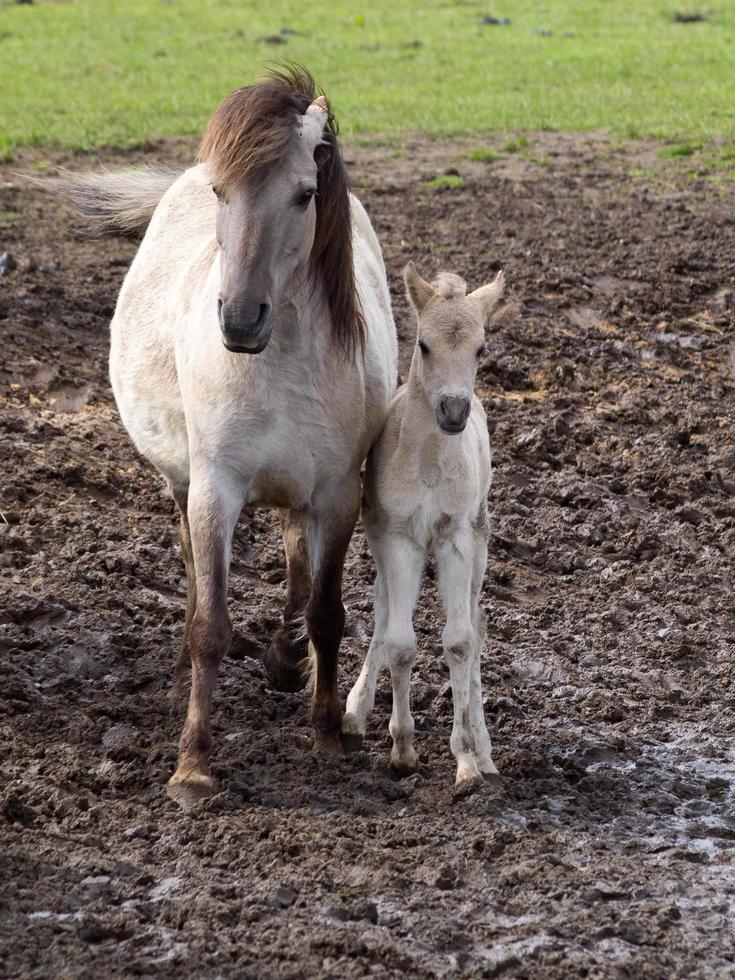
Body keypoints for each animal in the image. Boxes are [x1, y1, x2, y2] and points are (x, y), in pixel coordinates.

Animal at [56, 65, 396, 808]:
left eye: (304, 193)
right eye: (221, 192)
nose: (240, 320)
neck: (282, 361)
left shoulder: (337, 492)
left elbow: (326, 611)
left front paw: (325, 734)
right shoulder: (216, 487)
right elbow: (210, 625)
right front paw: (193, 767)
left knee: (297, 561)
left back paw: (287, 661)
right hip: (182, 483)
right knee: (193, 565)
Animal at [340, 264, 504, 792]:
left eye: (481, 349)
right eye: (424, 345)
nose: (454, 412)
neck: (430, 464)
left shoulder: (457, 540)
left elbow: (459, 640)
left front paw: (467, 759)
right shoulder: (397, 540)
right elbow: (399, 641)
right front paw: (402, 749)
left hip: (481, 539)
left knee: (477, 621)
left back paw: (486, 749)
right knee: (381, 612)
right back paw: (354, 711)